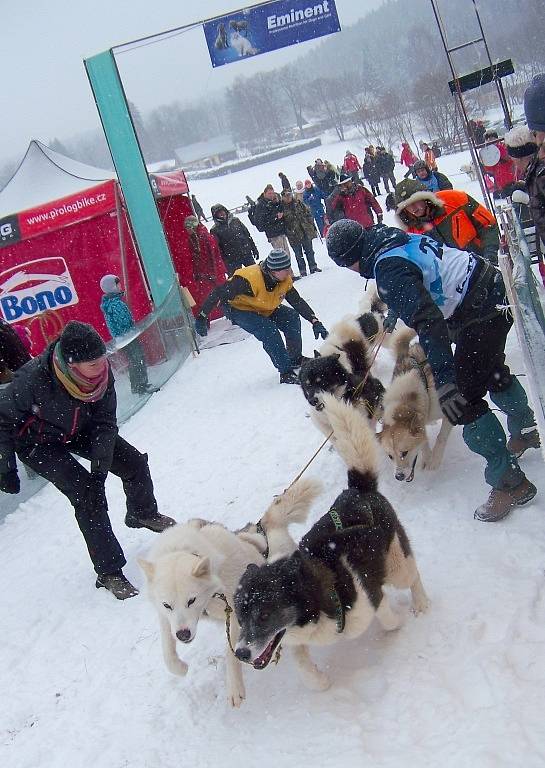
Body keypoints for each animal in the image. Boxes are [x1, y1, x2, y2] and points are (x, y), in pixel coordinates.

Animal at [138, 480, 320, 708]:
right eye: (167, 605)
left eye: (191, 600)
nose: (183, 635)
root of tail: (267, 527)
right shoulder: (166, 618)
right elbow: (167, 652)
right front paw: (179, 666)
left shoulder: (235, 615)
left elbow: (231, 653)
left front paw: (234, 688)